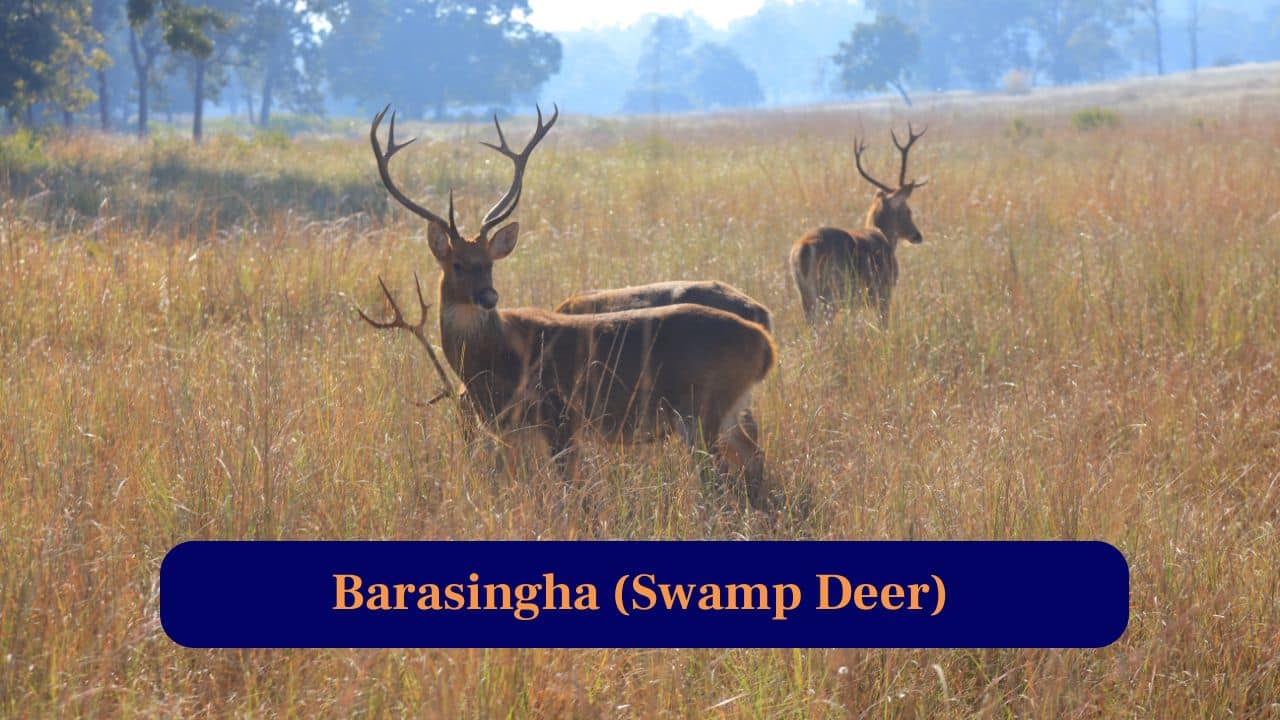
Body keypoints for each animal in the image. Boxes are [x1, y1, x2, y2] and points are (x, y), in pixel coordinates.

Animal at [359, 105, 777, 503]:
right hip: (727, 409)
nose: (488, 297)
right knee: (754, 457)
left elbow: (568, 491)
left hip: (702, 407)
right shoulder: (514, 431)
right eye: (457, 265)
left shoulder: (558, 416)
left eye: (489, 263)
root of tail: (765, 343)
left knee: (720, 476)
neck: (493, 361)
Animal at [790, 124, 927, 327]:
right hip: (831, 292)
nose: (917, 235)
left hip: (806, 296)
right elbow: (883, 325)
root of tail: (805, 248)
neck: (883, 236)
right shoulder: (883, 292)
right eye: (907, 210)